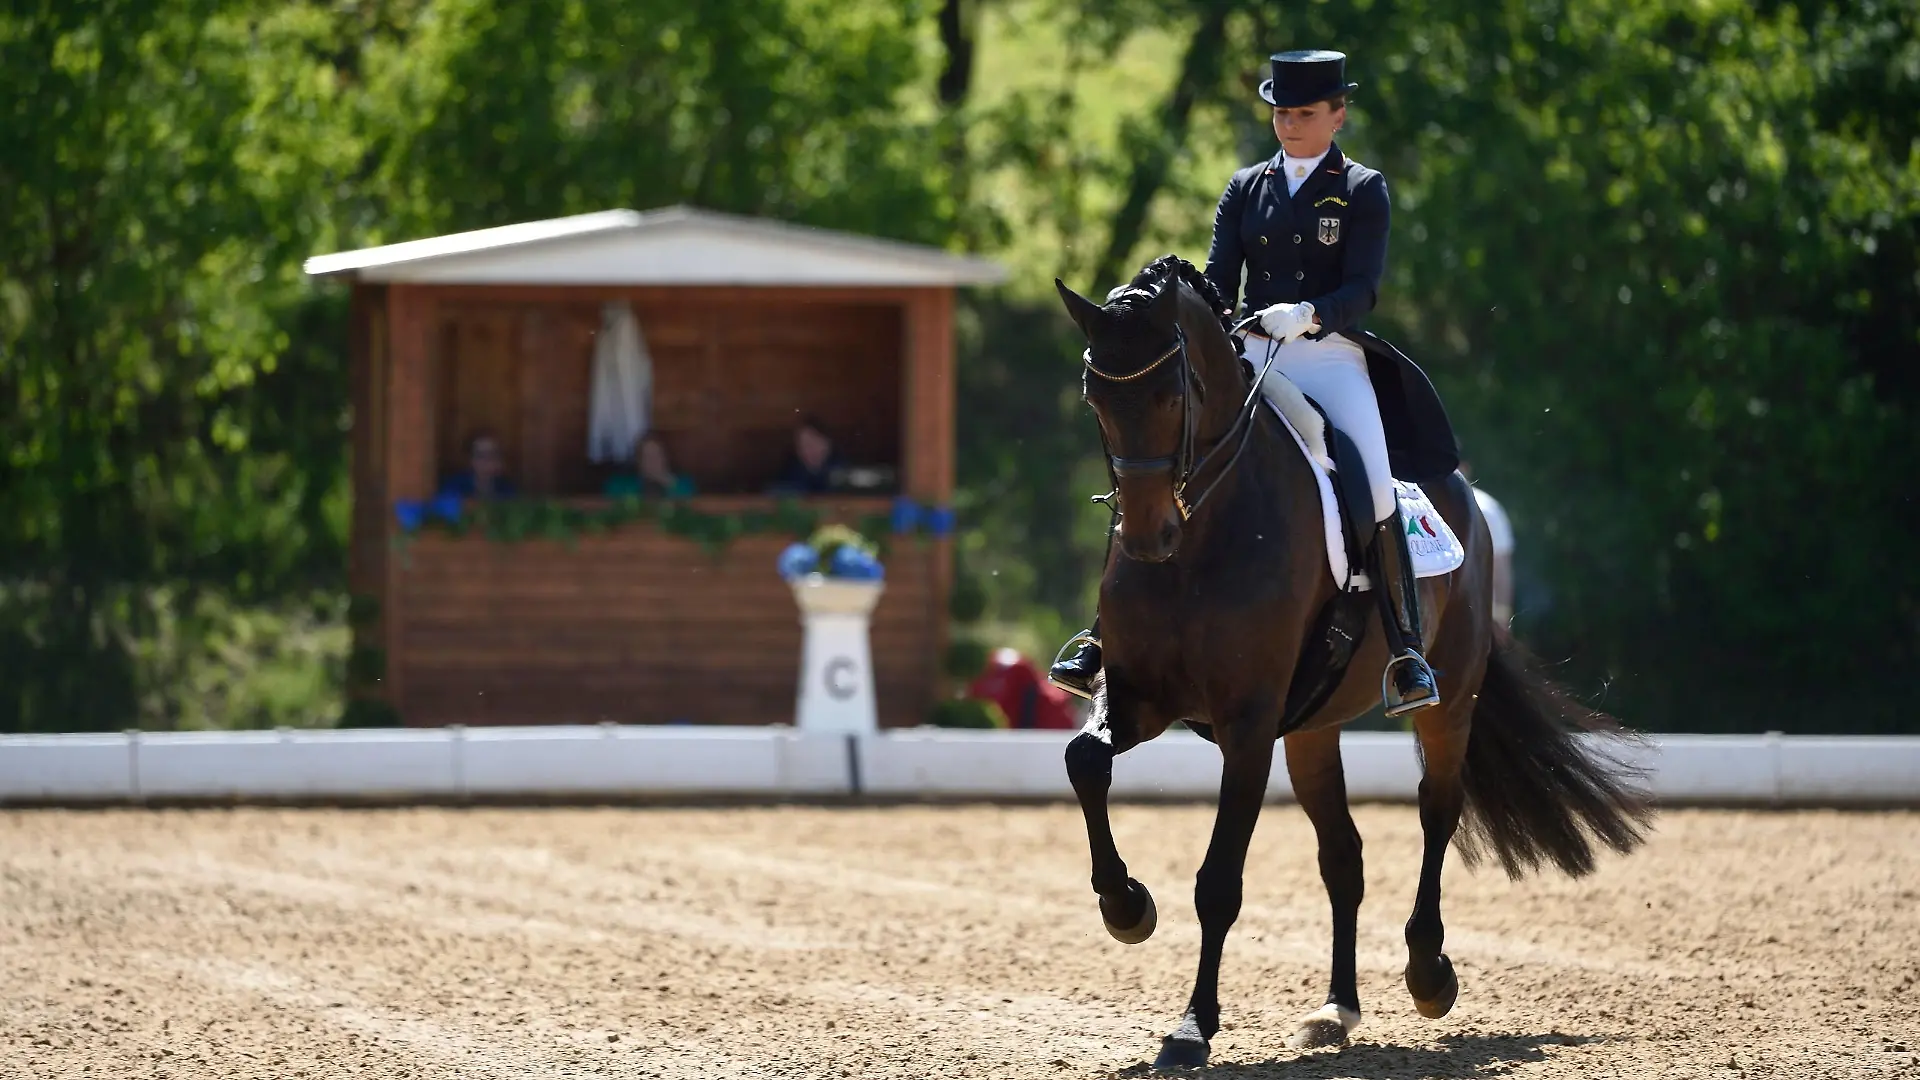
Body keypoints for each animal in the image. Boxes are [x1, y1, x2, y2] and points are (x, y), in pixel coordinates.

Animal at [1054, 255, 1652, 1068]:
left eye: (1172, 392)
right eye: (1095, 395)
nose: (1148, 537)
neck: (1205, 532)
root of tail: (1462, 492)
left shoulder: (1248, 724)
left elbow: (1219, 882)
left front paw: (1191, 1027)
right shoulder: (1139, 695)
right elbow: (1085, 760)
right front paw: (1127, 907)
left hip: (1448, 700)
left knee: (1437, 811)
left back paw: (1429, 974)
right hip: (1312, 729)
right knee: (1344, 854)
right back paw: (1337, 1009)